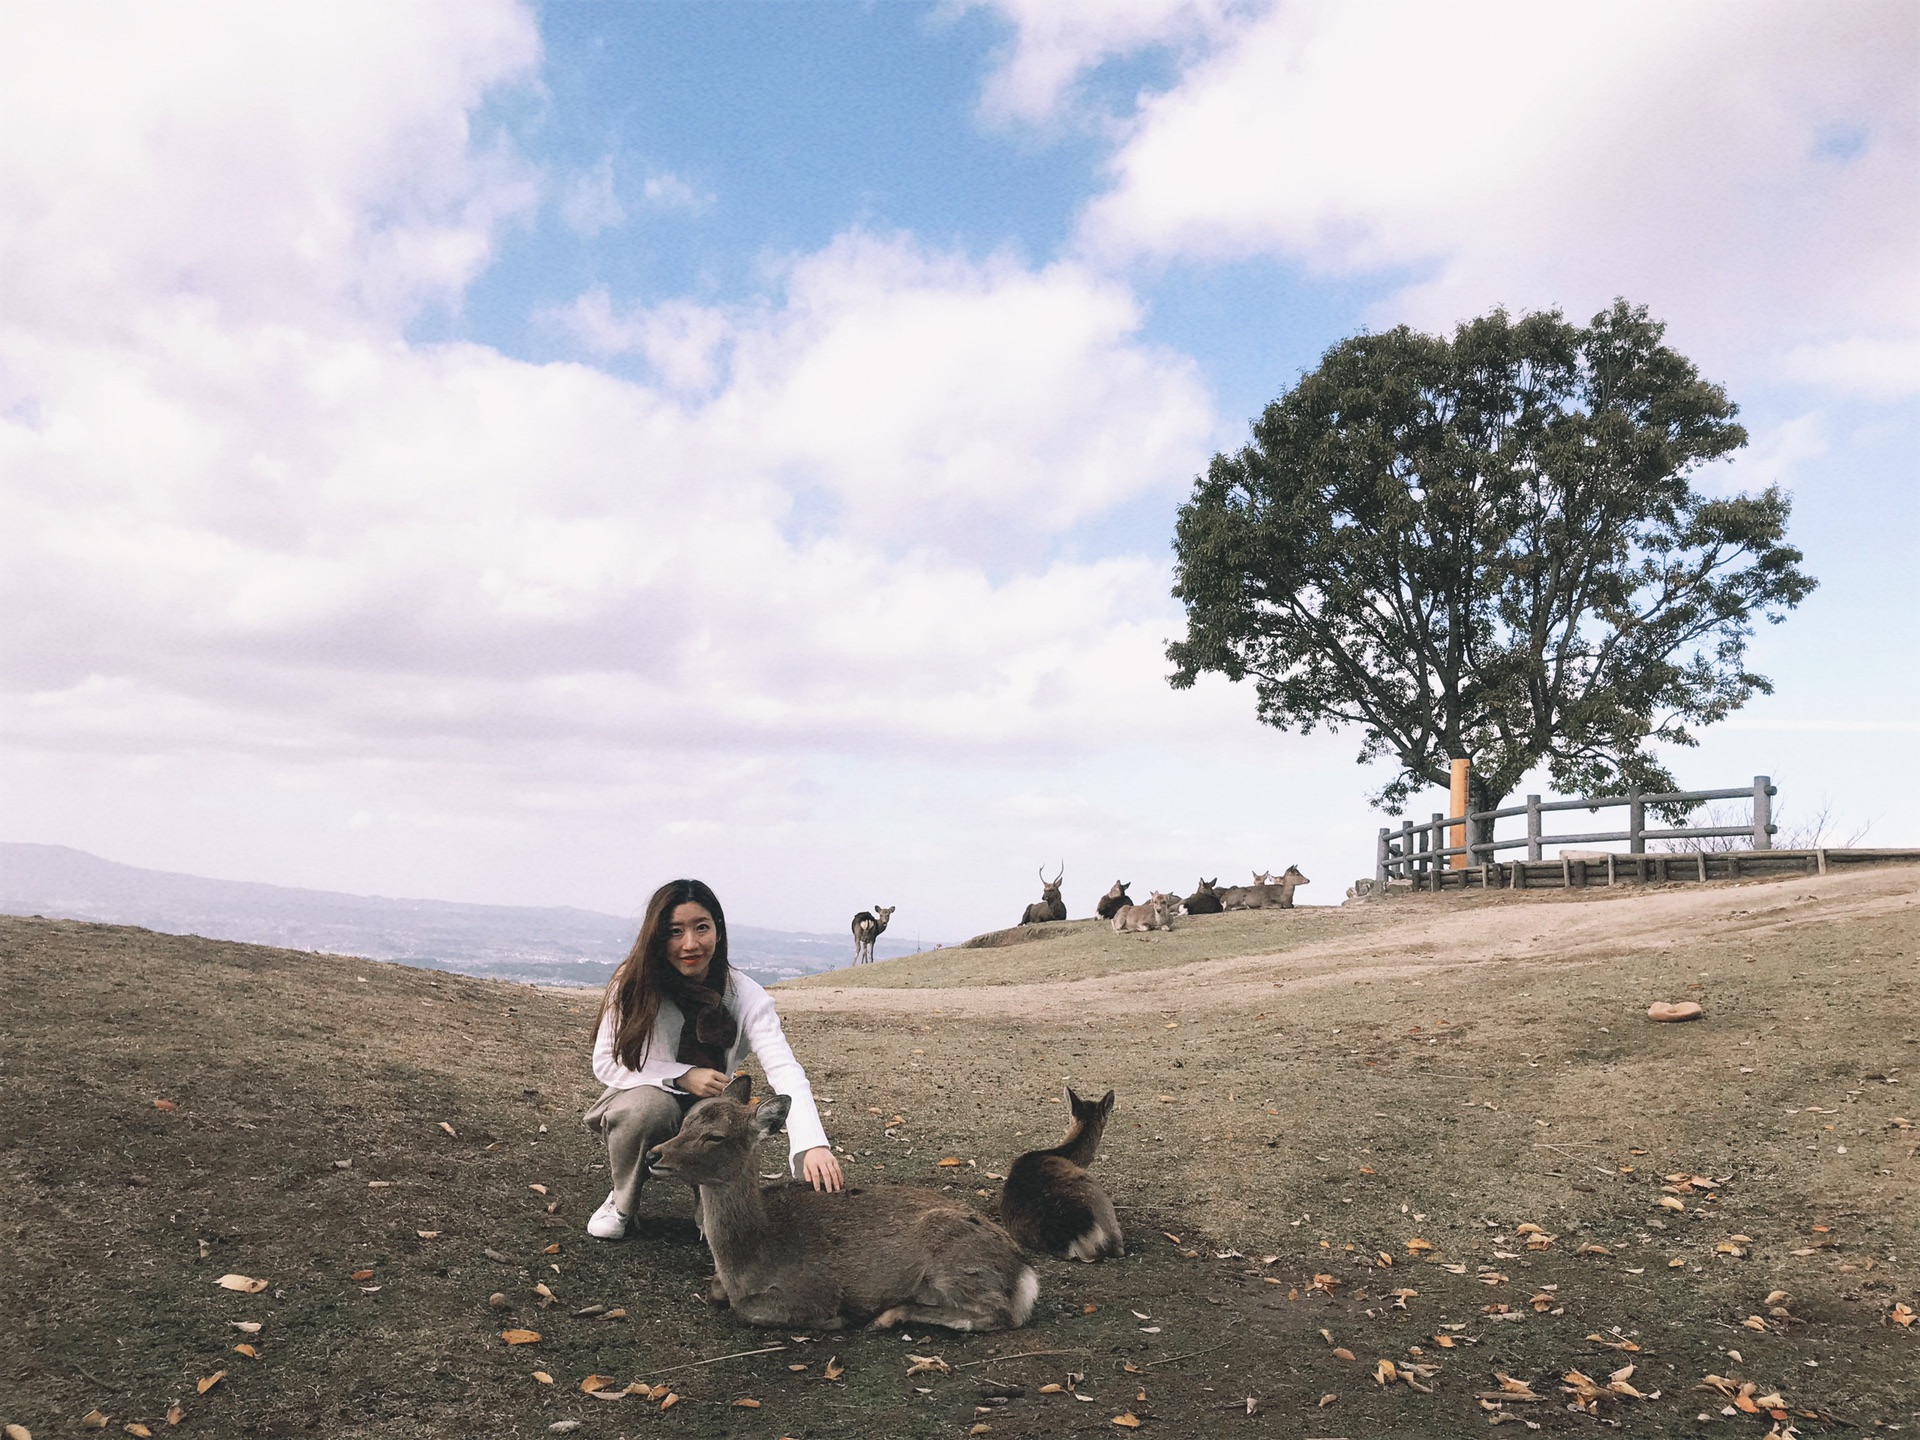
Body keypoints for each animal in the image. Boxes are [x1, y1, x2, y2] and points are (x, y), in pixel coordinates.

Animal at [645, 1075, 1036, 1336]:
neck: (748, 1260)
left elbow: (747, 1311)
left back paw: (886, 1316)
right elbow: (714, 1292)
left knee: (999, 1315)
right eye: (685, 1122)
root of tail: (1025, 1274)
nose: (653, 1154)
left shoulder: (815, 1290)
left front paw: (838, 1318)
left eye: (716, 1136)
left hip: (956, 1262)